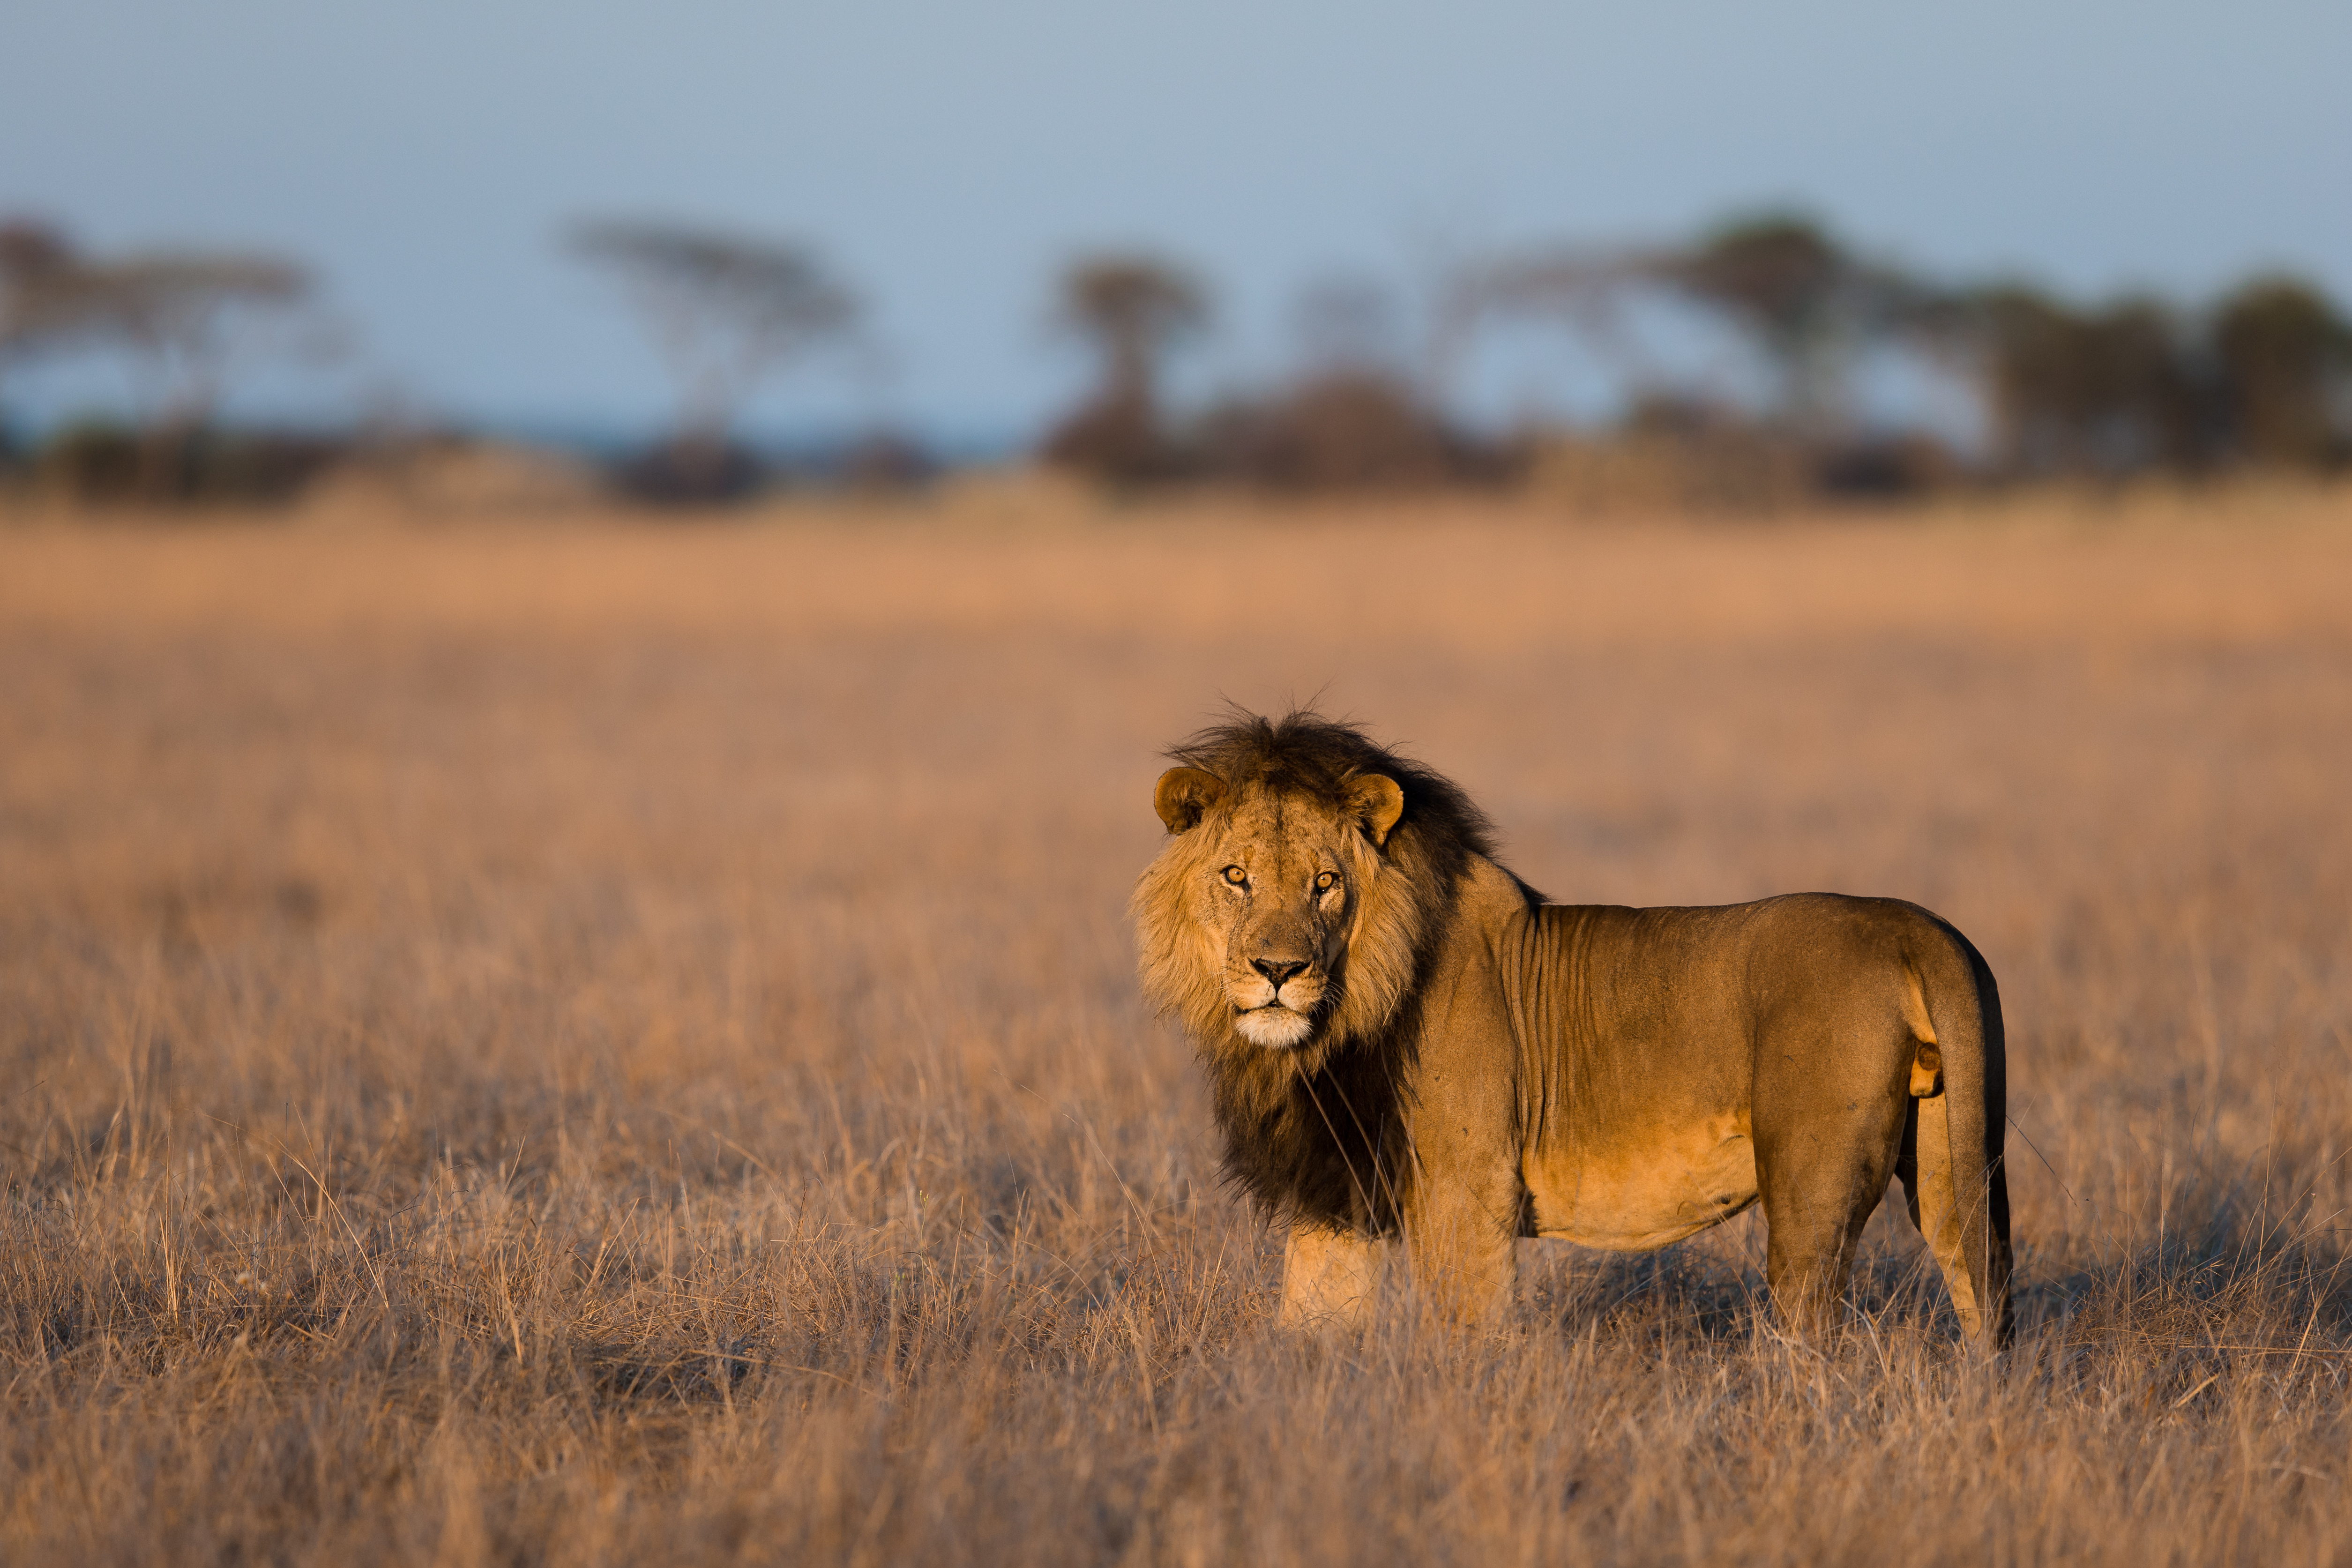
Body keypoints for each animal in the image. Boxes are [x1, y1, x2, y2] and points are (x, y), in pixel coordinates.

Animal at [1132, 710, 2013, 1346]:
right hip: (1951, 1161)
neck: (1334, 1028)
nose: (1277, 971)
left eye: (1324, 884)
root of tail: (1913, 927)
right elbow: (1309, 1327)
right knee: (1979, 1295)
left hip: (1810, 1187)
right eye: (1234, 877)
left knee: (1811, 1335)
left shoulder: (1466, 1187)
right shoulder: (1335, 1193)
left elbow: (1466, 1336)